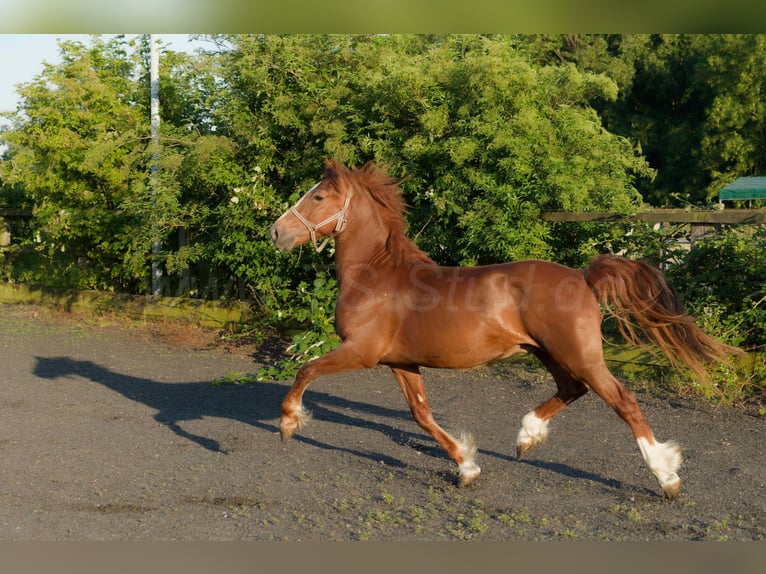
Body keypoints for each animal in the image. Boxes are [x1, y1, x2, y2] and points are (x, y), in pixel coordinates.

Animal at [269, 159, 737, 499]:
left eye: (319, 195)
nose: (277, 232)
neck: (377, 276)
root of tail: (583, 276)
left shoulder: (360, 351)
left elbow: (305, 370)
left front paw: (289, 423)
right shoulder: (401, 362)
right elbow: (422, 415)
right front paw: (466, 466)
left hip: (578, 353)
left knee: (624, 401)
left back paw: (666, 477)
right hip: (548, 352)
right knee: (573, 389)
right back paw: (527, 436)